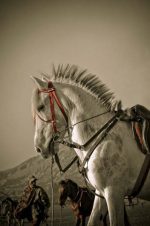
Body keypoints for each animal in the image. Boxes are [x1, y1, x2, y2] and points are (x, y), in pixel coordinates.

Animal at [31, 64, 149, 225]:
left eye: (41, 107)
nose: (38, 147)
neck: (104, 138)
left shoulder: (113, 193)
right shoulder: (101, 194)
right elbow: (92, 221)